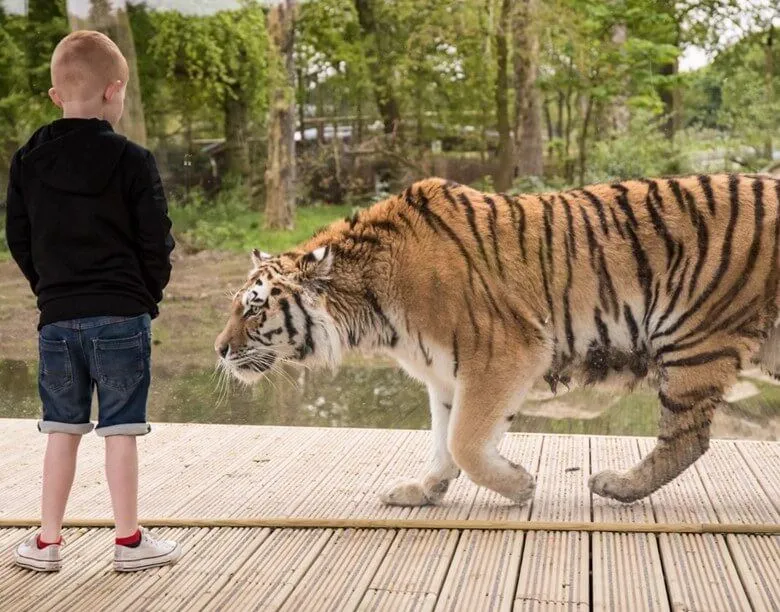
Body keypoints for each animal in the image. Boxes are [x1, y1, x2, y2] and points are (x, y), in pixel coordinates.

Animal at [213, 173, 780, 506]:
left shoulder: (504, 352)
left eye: (255, 307)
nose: (219, 350)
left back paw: (617, 486)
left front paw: (519, 485)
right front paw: (424, 490)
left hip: (692, 336)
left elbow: (465, 441)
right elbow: (442, 439)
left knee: (687, 437)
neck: (371, 302)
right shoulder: (444, 372)